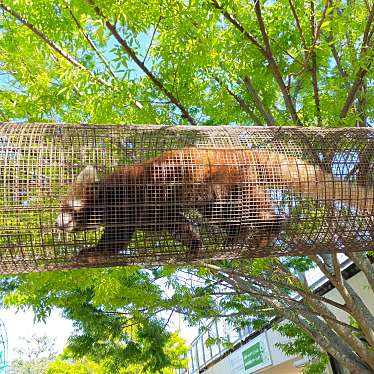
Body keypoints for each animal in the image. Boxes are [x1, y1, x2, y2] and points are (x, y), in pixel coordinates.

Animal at [55, 148, 374, 258]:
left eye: (68, 209)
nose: (57, 224)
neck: (105, 197)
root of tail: (239, 150)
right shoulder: (156, 213)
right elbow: (177, 224)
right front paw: (194, 243)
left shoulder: (129, 203)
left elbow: (117, 238)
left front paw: (93, 252)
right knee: (228, 217)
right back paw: (235, 237)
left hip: (225, 185)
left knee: (255, 211)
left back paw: (266, 229)